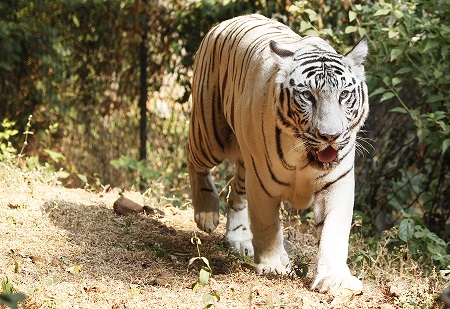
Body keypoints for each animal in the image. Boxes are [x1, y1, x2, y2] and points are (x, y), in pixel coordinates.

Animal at [185, 13, 368, 292]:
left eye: (344, 95)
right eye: (307, 96)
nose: (331, 136)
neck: (305, 158)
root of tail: (228, 21)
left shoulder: (336, 182)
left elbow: (334, 230)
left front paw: (334, 277)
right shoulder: (262, 183)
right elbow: (267, 225)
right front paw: (273, 266)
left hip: (244, 159)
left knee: (236, 193)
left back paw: (239, 238)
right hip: (210, 134)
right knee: (193, 156)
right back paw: (206, 213)